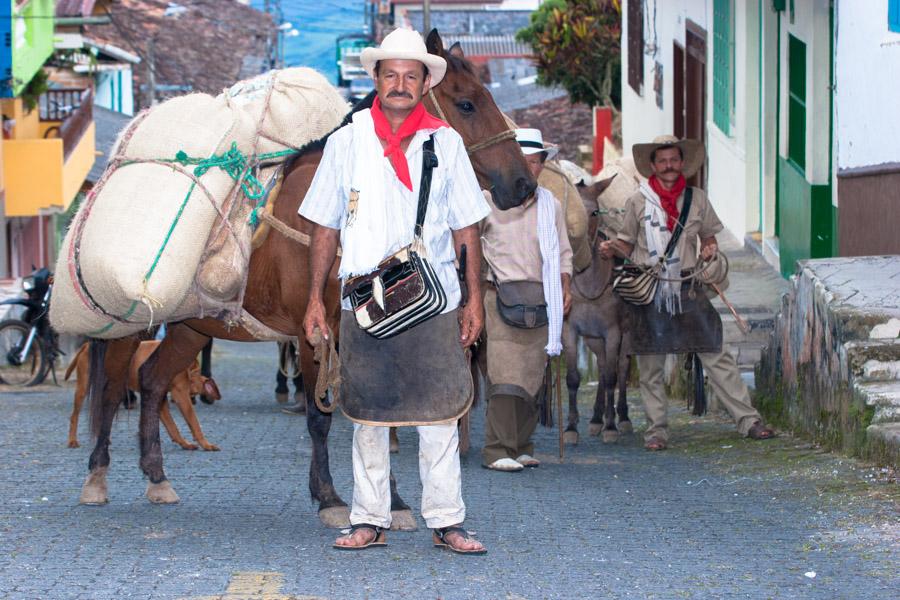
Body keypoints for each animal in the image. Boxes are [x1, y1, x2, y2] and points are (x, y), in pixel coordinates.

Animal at [65, 342, 223, 450]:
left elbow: (172, 426)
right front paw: (206, 444)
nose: (194, 397)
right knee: (74, 416)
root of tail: (87, 345)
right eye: (192, 394)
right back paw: (72, 441)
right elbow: (194, 422)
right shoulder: (180, 395)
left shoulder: (161, 399)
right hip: (84, 388)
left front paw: (183, 443)